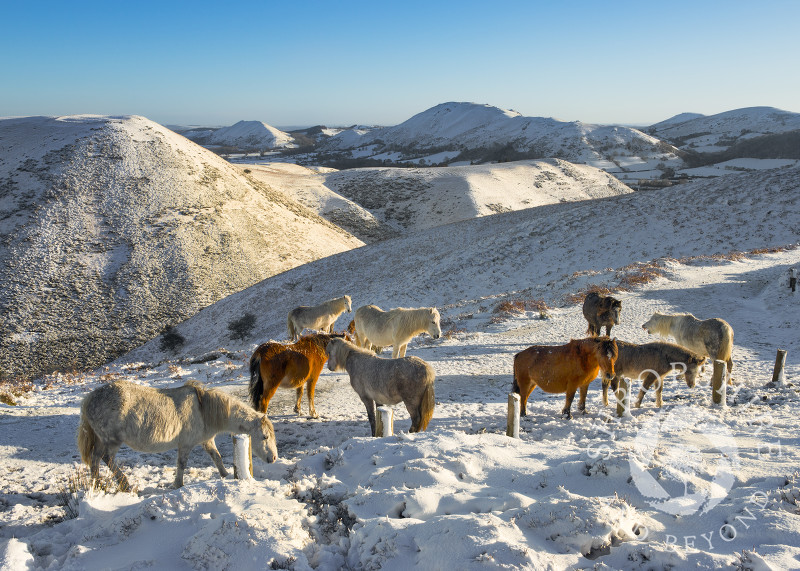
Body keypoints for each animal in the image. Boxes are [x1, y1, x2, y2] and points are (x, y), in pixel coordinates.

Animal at [77, 380, 278, 492]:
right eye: (265, 437)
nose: (274, 458)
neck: (203, 409)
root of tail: (89, 399)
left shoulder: (207, 441)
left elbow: (217, 457)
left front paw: (225, 475)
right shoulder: (185, 445)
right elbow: (182, 464)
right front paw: (178, 484)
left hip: (102, 441)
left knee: (95, 459)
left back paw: (96, 485)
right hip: (111, 441)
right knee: (106, 458)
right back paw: (123, 484)